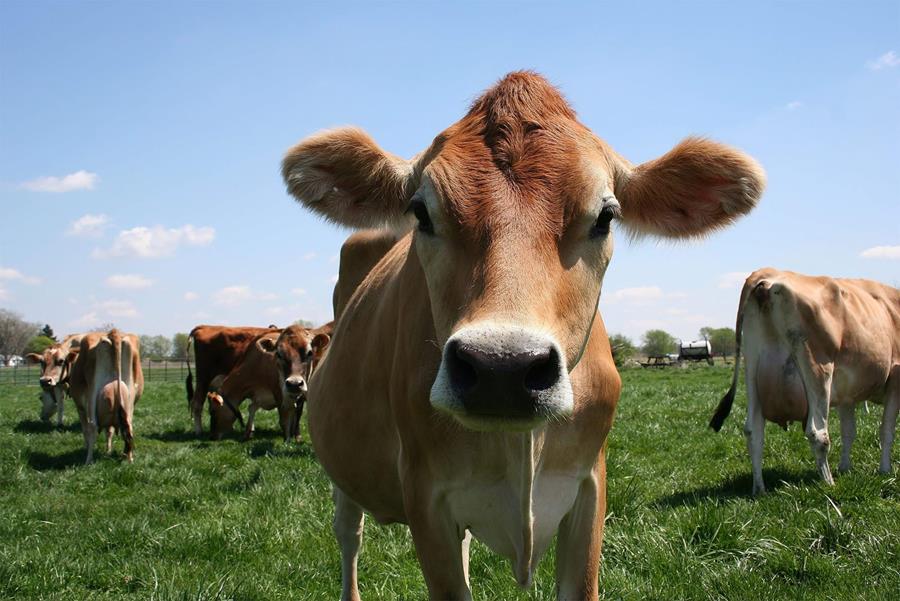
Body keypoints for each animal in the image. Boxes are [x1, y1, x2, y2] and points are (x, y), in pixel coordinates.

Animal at [66, 329, 144, 464]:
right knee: (129, 427)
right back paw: (129, 459)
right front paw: (108, 451)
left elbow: (85, 429)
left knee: (92, 427)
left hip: (92, 395)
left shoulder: (80, 408)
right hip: (129, 400)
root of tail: (112, 333)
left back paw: (88, 461)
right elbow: (109, 431)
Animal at [281, 71, 764, 600]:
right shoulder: (425, 498)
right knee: (350, 535)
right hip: (340, 470)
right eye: (422, 212)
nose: (502, 369)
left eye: (605, 216)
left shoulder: (590, 489)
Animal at [709, 268, 900, 496]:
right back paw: (829, 484)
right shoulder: (895, 379)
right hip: (818, 370)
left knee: (753, 431)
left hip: (752, 369)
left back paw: (759, 489)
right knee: (818, 433)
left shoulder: (847, 394)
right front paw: (885, 470)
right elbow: (886, 430)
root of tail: (767, 273)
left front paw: (845, 468)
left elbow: (849, 431)